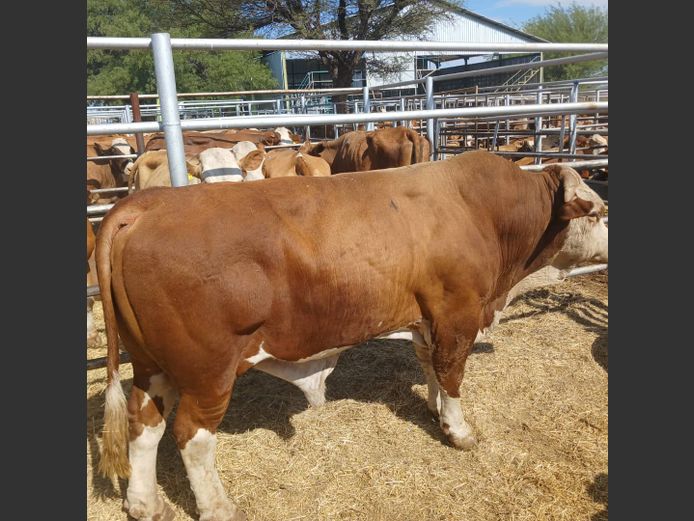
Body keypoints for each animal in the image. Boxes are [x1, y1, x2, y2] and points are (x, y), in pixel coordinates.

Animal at [95, 151, 607, 521]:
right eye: (599, 213)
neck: (481, 209)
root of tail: (149, 203)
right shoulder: (457, 313)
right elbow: (453, 373)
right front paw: (459, 430)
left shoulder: (426, 319)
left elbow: (432, 367)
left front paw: (435, 409)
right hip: (209, 371)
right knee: (192, 436)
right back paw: (219, 509)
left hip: (152, 364)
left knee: (145, 423)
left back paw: (145, 504)